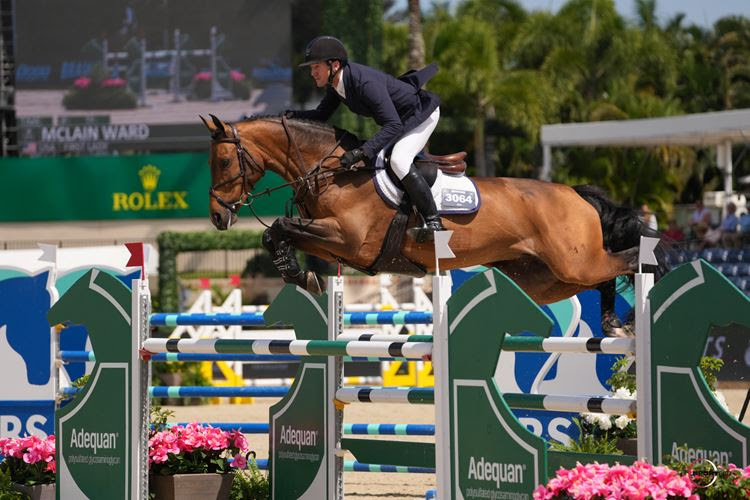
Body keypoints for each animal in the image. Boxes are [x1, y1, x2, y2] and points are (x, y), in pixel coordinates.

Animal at [201, 114, 668, 334]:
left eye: (222, 161)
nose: (218, 216)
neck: (333, 171)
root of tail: (575, 194)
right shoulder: (334, 243)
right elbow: (276, 232)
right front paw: (298, 274)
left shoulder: (350, 241)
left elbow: (280, 225)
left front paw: (299, 274)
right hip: (548, 278)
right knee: (604, 277)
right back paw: (611, 322)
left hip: (574, 262)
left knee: (629, 260)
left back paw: (632, 309)